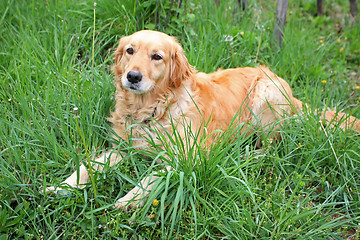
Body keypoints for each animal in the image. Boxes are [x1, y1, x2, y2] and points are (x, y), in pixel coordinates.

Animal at [45, 29, 360, 210]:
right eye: (130, 51)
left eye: (157, 56)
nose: (132, 77)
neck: (154, 109)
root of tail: (292, 94)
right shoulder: (123, 147)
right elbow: (88, 166)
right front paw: (61, 187)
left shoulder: (185, 157)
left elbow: (151, 177)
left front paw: (128, 199)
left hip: (266, 95)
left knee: (272, 147)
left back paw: (245, 156)